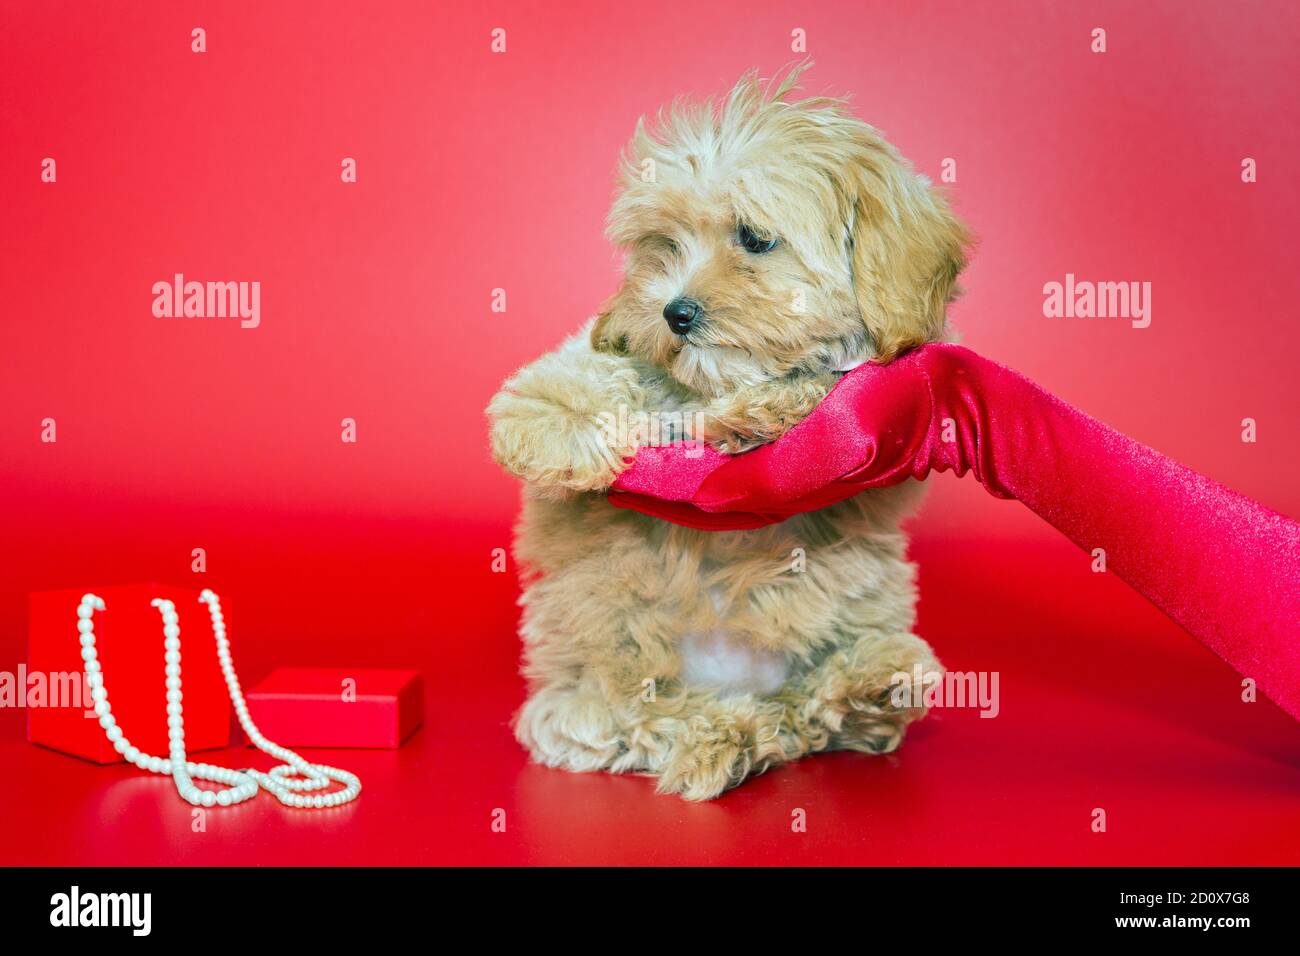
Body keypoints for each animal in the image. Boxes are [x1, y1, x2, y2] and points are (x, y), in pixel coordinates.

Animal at [488, 65, 967, 801]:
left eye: (755, 238)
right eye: (663, 246)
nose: (674, 312)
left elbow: (821, 392)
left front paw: (768, 407)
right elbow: (601, 367)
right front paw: (560, 423)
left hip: (861, 602)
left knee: (817, 715)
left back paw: (866, 684)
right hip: (594, 675)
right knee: (634, 717)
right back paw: (723, 733)